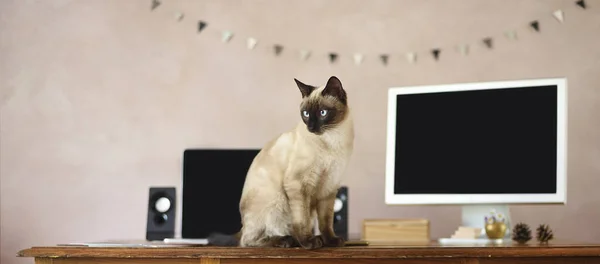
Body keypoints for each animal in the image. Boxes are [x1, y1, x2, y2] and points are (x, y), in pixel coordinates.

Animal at [209, 75, 354, 249]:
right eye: (306, 114)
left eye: (322, 113)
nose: (311, 127)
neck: (333, 140)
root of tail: (242, 226)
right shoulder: (298, 184)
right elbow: (302, 220)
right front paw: (308, 242)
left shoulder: (329, 187)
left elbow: (326, 221)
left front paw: (331, 241)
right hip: (276, 201)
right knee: (249, 241)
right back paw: (287, 240)